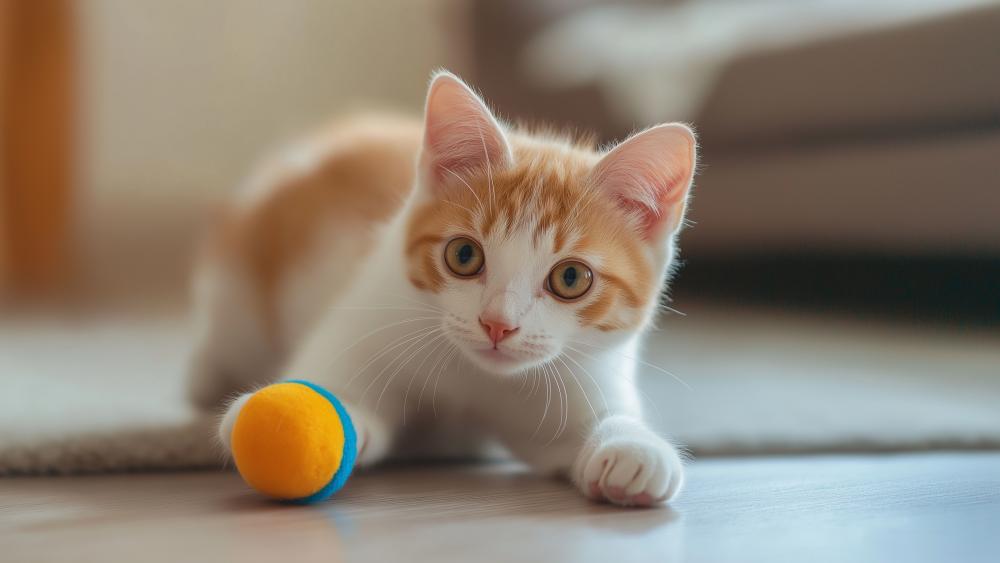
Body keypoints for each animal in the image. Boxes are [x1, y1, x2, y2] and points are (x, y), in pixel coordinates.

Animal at [191, 70, 700, 506]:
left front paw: (635, 447)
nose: (497, 325)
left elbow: (593, 426)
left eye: (570, 278)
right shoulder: (365, 314)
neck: (476, 381)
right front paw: (290, 415)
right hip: (239, 290)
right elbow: (331, 391)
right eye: (464, 255)